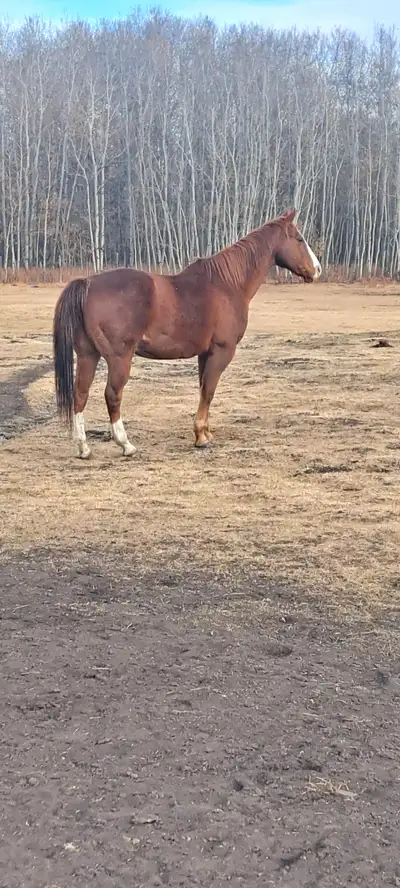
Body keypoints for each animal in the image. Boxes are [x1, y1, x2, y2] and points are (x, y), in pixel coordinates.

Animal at [53, 208, 321, 458]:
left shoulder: (205, 353)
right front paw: (200, 436)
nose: (317, 270)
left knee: (80, 394)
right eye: (299, 239)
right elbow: (209, 390)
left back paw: (83, 447)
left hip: (88, 355)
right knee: (112, 394)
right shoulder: (222, 351)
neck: (226, 285)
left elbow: (203, 389)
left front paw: (205, 432)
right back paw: (125, 444)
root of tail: (88, 283)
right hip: (119, 358)